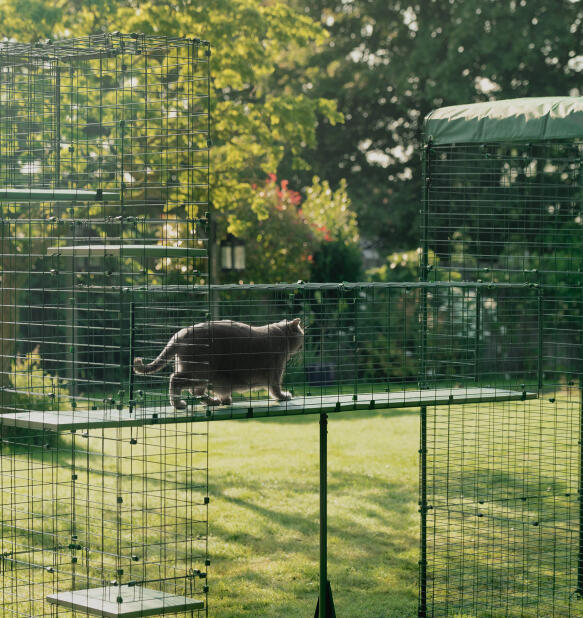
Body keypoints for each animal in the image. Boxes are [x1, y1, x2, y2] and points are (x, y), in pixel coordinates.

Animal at [133, 318, 306, 410]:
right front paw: (284, 396)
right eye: (302, 334)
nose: (303, 345)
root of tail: (180, 334)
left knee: (195, 390)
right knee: (175, 379)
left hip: (201, 374)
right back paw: (178, 404)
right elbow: (276, 389)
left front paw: (224, 399)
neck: (282, 336)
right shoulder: (276, 371)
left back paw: (213, 401)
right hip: (200, 371)